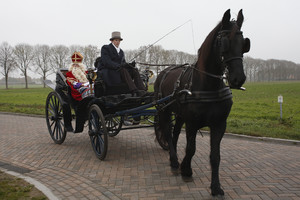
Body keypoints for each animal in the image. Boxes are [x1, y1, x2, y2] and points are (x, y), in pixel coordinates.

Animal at [154, 8, 250, 196]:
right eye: (224, 42)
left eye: (244, 43)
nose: (238, 78)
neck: (208, 85)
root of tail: (164, 71)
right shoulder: (192, 122)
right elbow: (191, 148)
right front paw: (186, 169)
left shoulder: (219, 124)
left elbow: (215, 156)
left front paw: (216, 187)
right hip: (164, 110)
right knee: (168, 132)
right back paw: (175, 161)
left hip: (179, 113)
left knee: (175, 133)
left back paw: (173, 157)